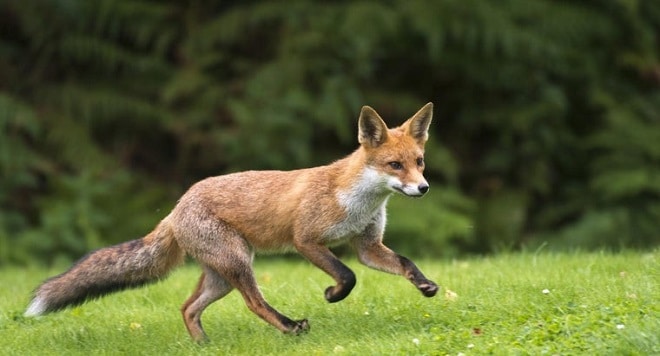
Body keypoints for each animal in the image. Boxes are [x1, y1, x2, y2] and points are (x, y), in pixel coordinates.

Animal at [24, 101, 438, 340]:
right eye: (394, 165)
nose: (423, 188)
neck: (357, 200)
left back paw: (203, 346)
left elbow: (404, 263)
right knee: (254, 303)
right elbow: (348, 275)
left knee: (187, 308)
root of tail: (177, 207)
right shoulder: (306, 240)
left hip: (221, 276)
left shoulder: (368, 245)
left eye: (419, 162)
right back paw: (289, 327)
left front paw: (426, 285)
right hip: (239, 263)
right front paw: (333, 295)